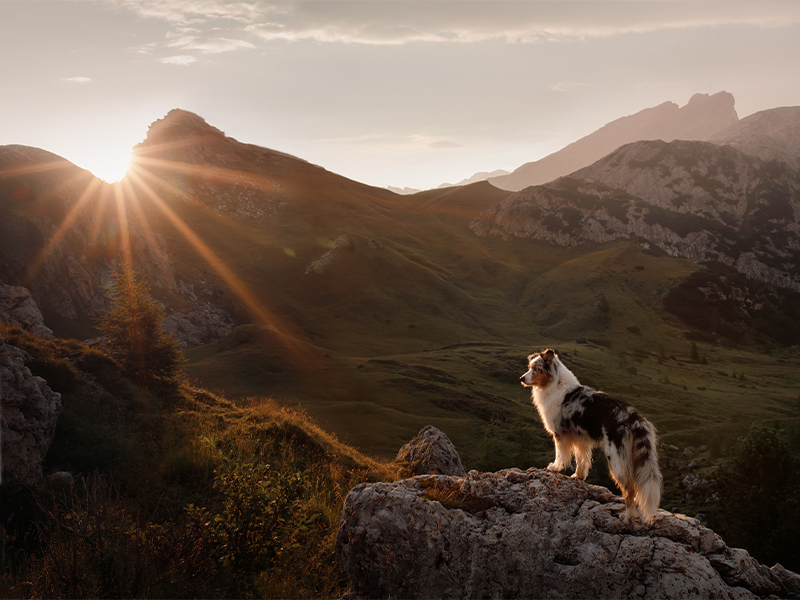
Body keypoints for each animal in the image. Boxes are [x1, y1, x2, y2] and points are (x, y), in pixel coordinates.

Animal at [520, 350, 664, 524]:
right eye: (529, 367)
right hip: (635, 458)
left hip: (616, 459)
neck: (555, 384)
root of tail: (635, 419)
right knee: (636, 486)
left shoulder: (560, 435)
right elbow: (582, 460)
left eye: (536, 369)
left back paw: (627, 516)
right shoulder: (580, 440)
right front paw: (578, 476)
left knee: (629, 488)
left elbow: (561, 456)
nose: (521, 378)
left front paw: (554, 468)